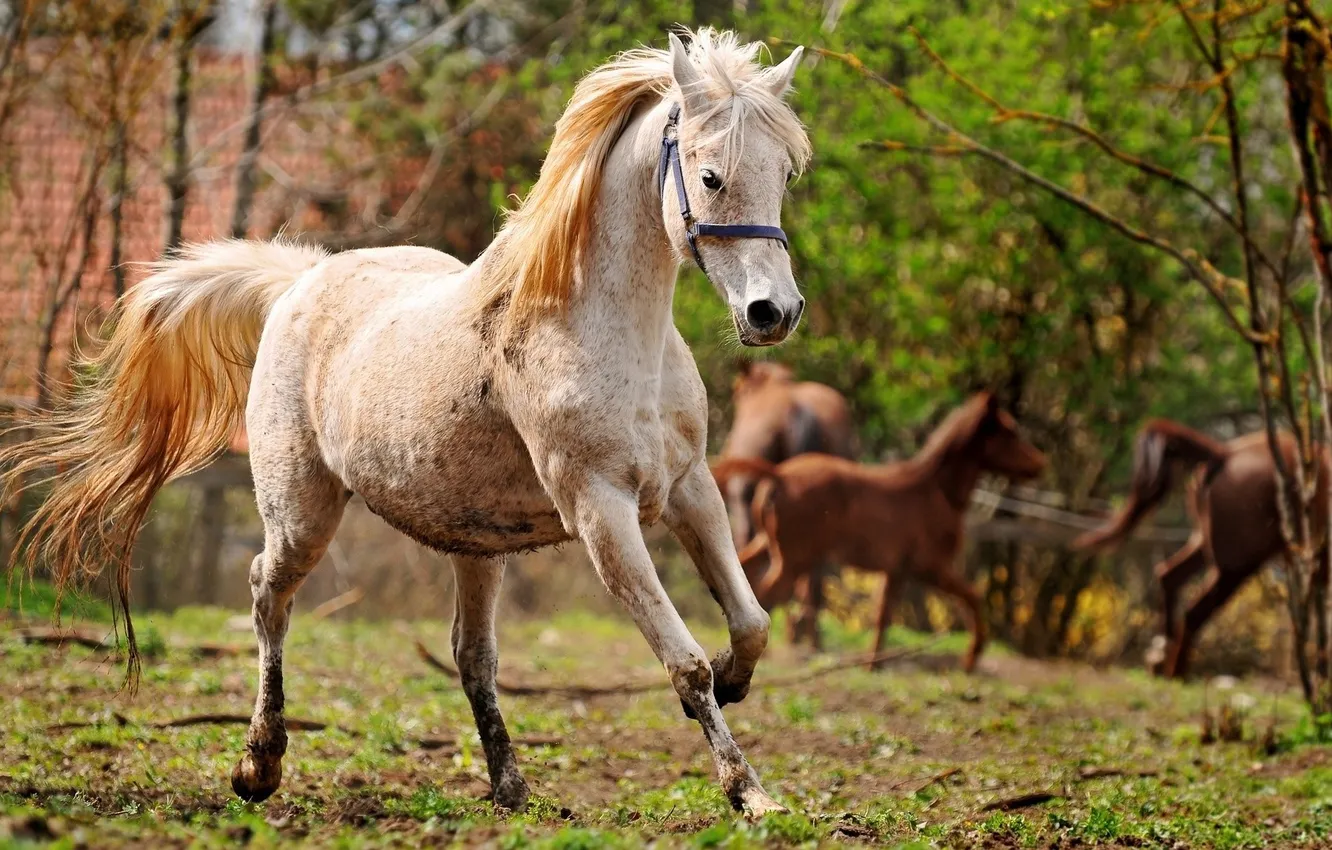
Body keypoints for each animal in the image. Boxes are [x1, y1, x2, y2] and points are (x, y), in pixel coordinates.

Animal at [0, 29, 810, 818]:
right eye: (711, 177)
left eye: (784, 174)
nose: (773, 313)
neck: (601, 330)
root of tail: (300, 281)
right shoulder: (601, 512)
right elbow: (685, 663)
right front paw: (750, 793)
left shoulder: (689, 489)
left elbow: (751, 622)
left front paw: (738, 686)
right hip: (301, 515)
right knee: (268, 594)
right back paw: (259, 765)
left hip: (476, 545)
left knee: (471, 655)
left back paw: (510, 789)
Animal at [712, 393, 1046, 672]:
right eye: (1010, 433)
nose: (1040, 465)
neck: (935, 491)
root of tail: (778, 474)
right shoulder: (932, 568)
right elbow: (974, 597)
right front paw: (972, 657)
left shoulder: (896, 571)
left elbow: (883, 616)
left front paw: (873, 664)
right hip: (795, 560)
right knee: (766, 595)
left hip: (769, 546)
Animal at [1073, 419, 1329, 679]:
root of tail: (1223, 454)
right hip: (1235, 565)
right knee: (1194, 611)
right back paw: (1176, 672)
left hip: (1205, 545)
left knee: (1169, 576)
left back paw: (1160, 657)